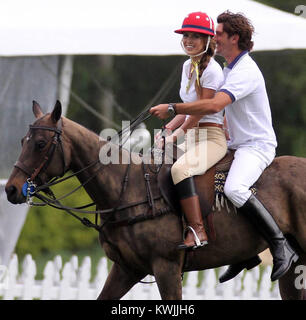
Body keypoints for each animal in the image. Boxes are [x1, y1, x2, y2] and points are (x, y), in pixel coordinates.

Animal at [4, 100, 306, 300]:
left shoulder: (166, 267)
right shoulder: (126, 269)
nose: (11, 189)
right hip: (294, 268)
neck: (127, 191)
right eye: (21, 141)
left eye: (40, 144)